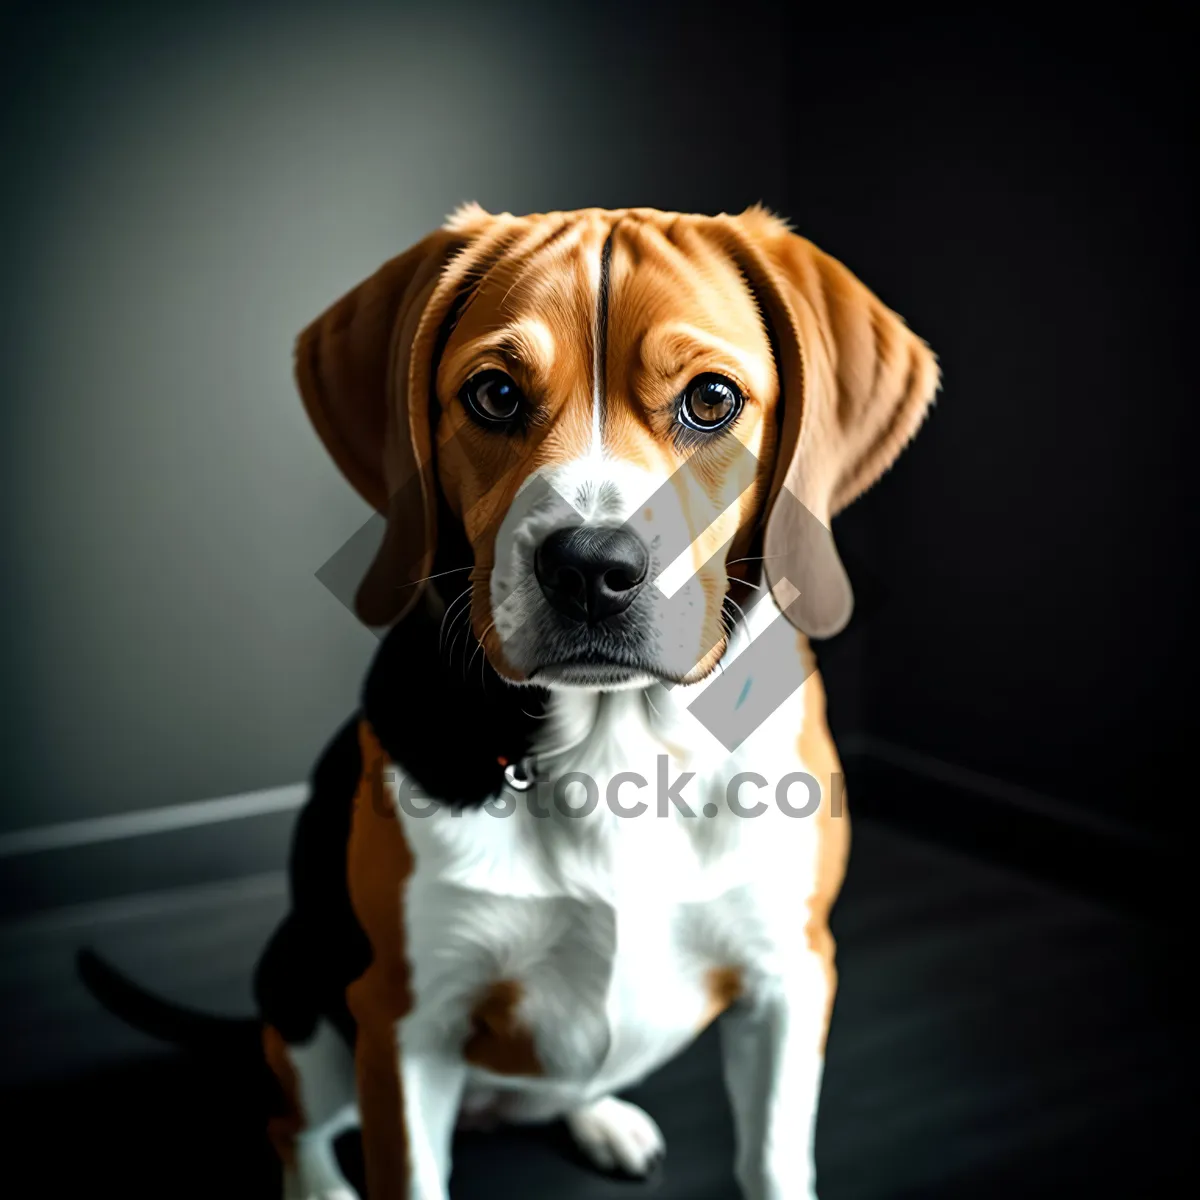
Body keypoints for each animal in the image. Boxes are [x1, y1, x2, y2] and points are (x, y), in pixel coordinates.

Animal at [96, 206, 936, 1200]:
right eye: (495, 394)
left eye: (711, 400)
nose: (593, 569)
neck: (620, 751)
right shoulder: (403, 1026)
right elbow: (404, 1172)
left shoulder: (790, 980)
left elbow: (772, 1162)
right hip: (306, 999)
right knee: (290, 1121)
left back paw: (600, 1116)